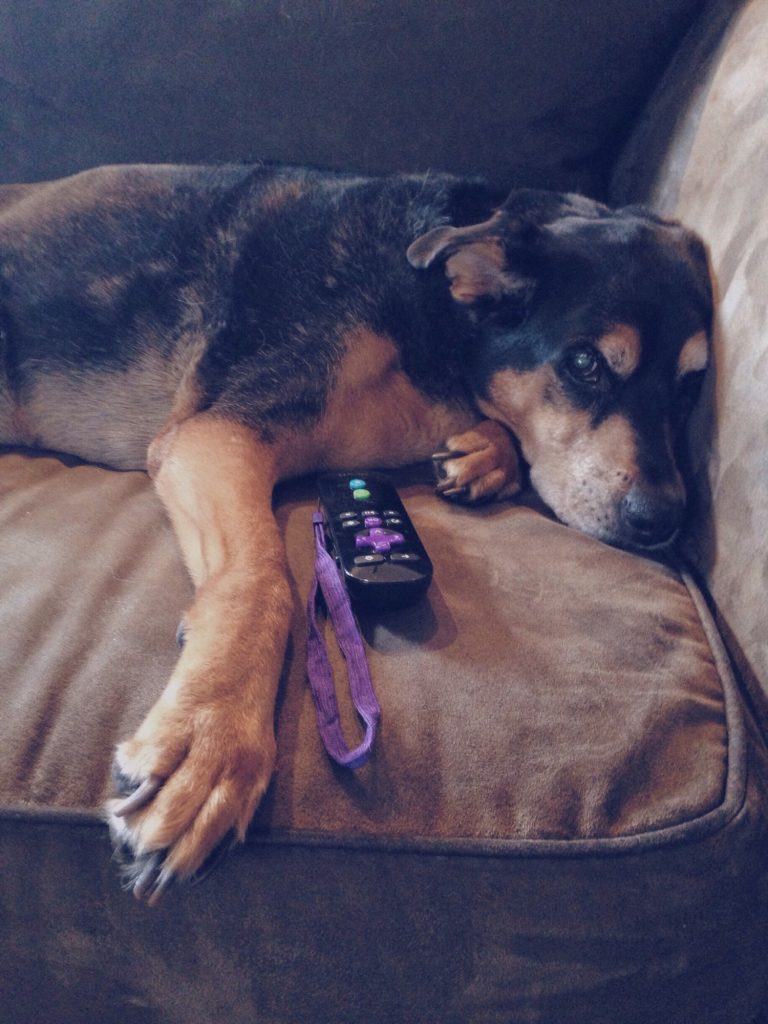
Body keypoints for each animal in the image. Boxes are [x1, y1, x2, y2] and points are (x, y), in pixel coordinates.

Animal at [0, 161, 716, 905]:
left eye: (691, 385)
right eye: (584, 364)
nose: (665, 520)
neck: (432, 314)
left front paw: (487, 455)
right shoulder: (215, 435)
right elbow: (263, 583)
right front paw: (214, 739)